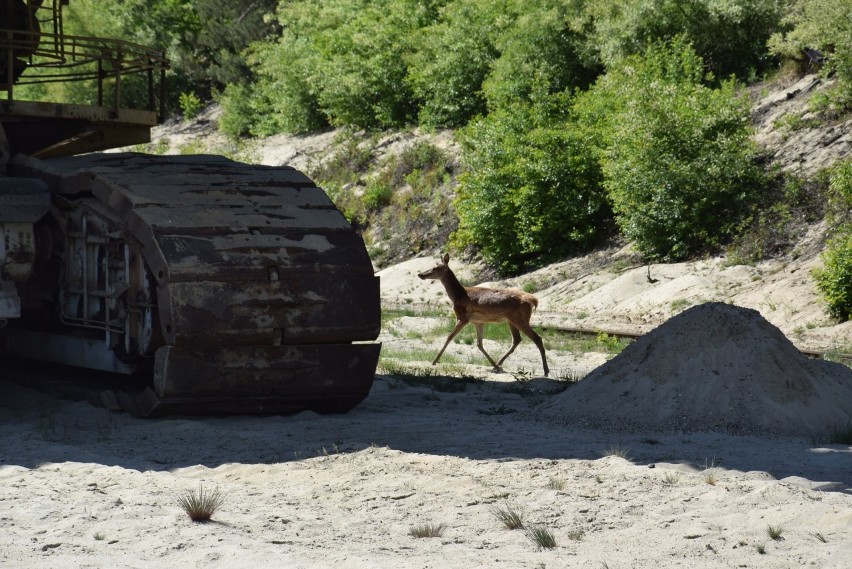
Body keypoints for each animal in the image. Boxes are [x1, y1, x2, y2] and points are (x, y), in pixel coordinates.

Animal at [416, 253, 548, 378]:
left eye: (435, 268)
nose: (420, 274)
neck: (458, 295)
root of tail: (533, 300)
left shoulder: (463, 317)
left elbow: (449, 337)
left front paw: (434, 360)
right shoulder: (477, 321)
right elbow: (479, 344)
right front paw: (494, 365)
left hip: (520, 319)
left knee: (537, 338)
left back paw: (546, 371)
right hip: (511, 320)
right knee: (517, 339)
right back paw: (499, 364)